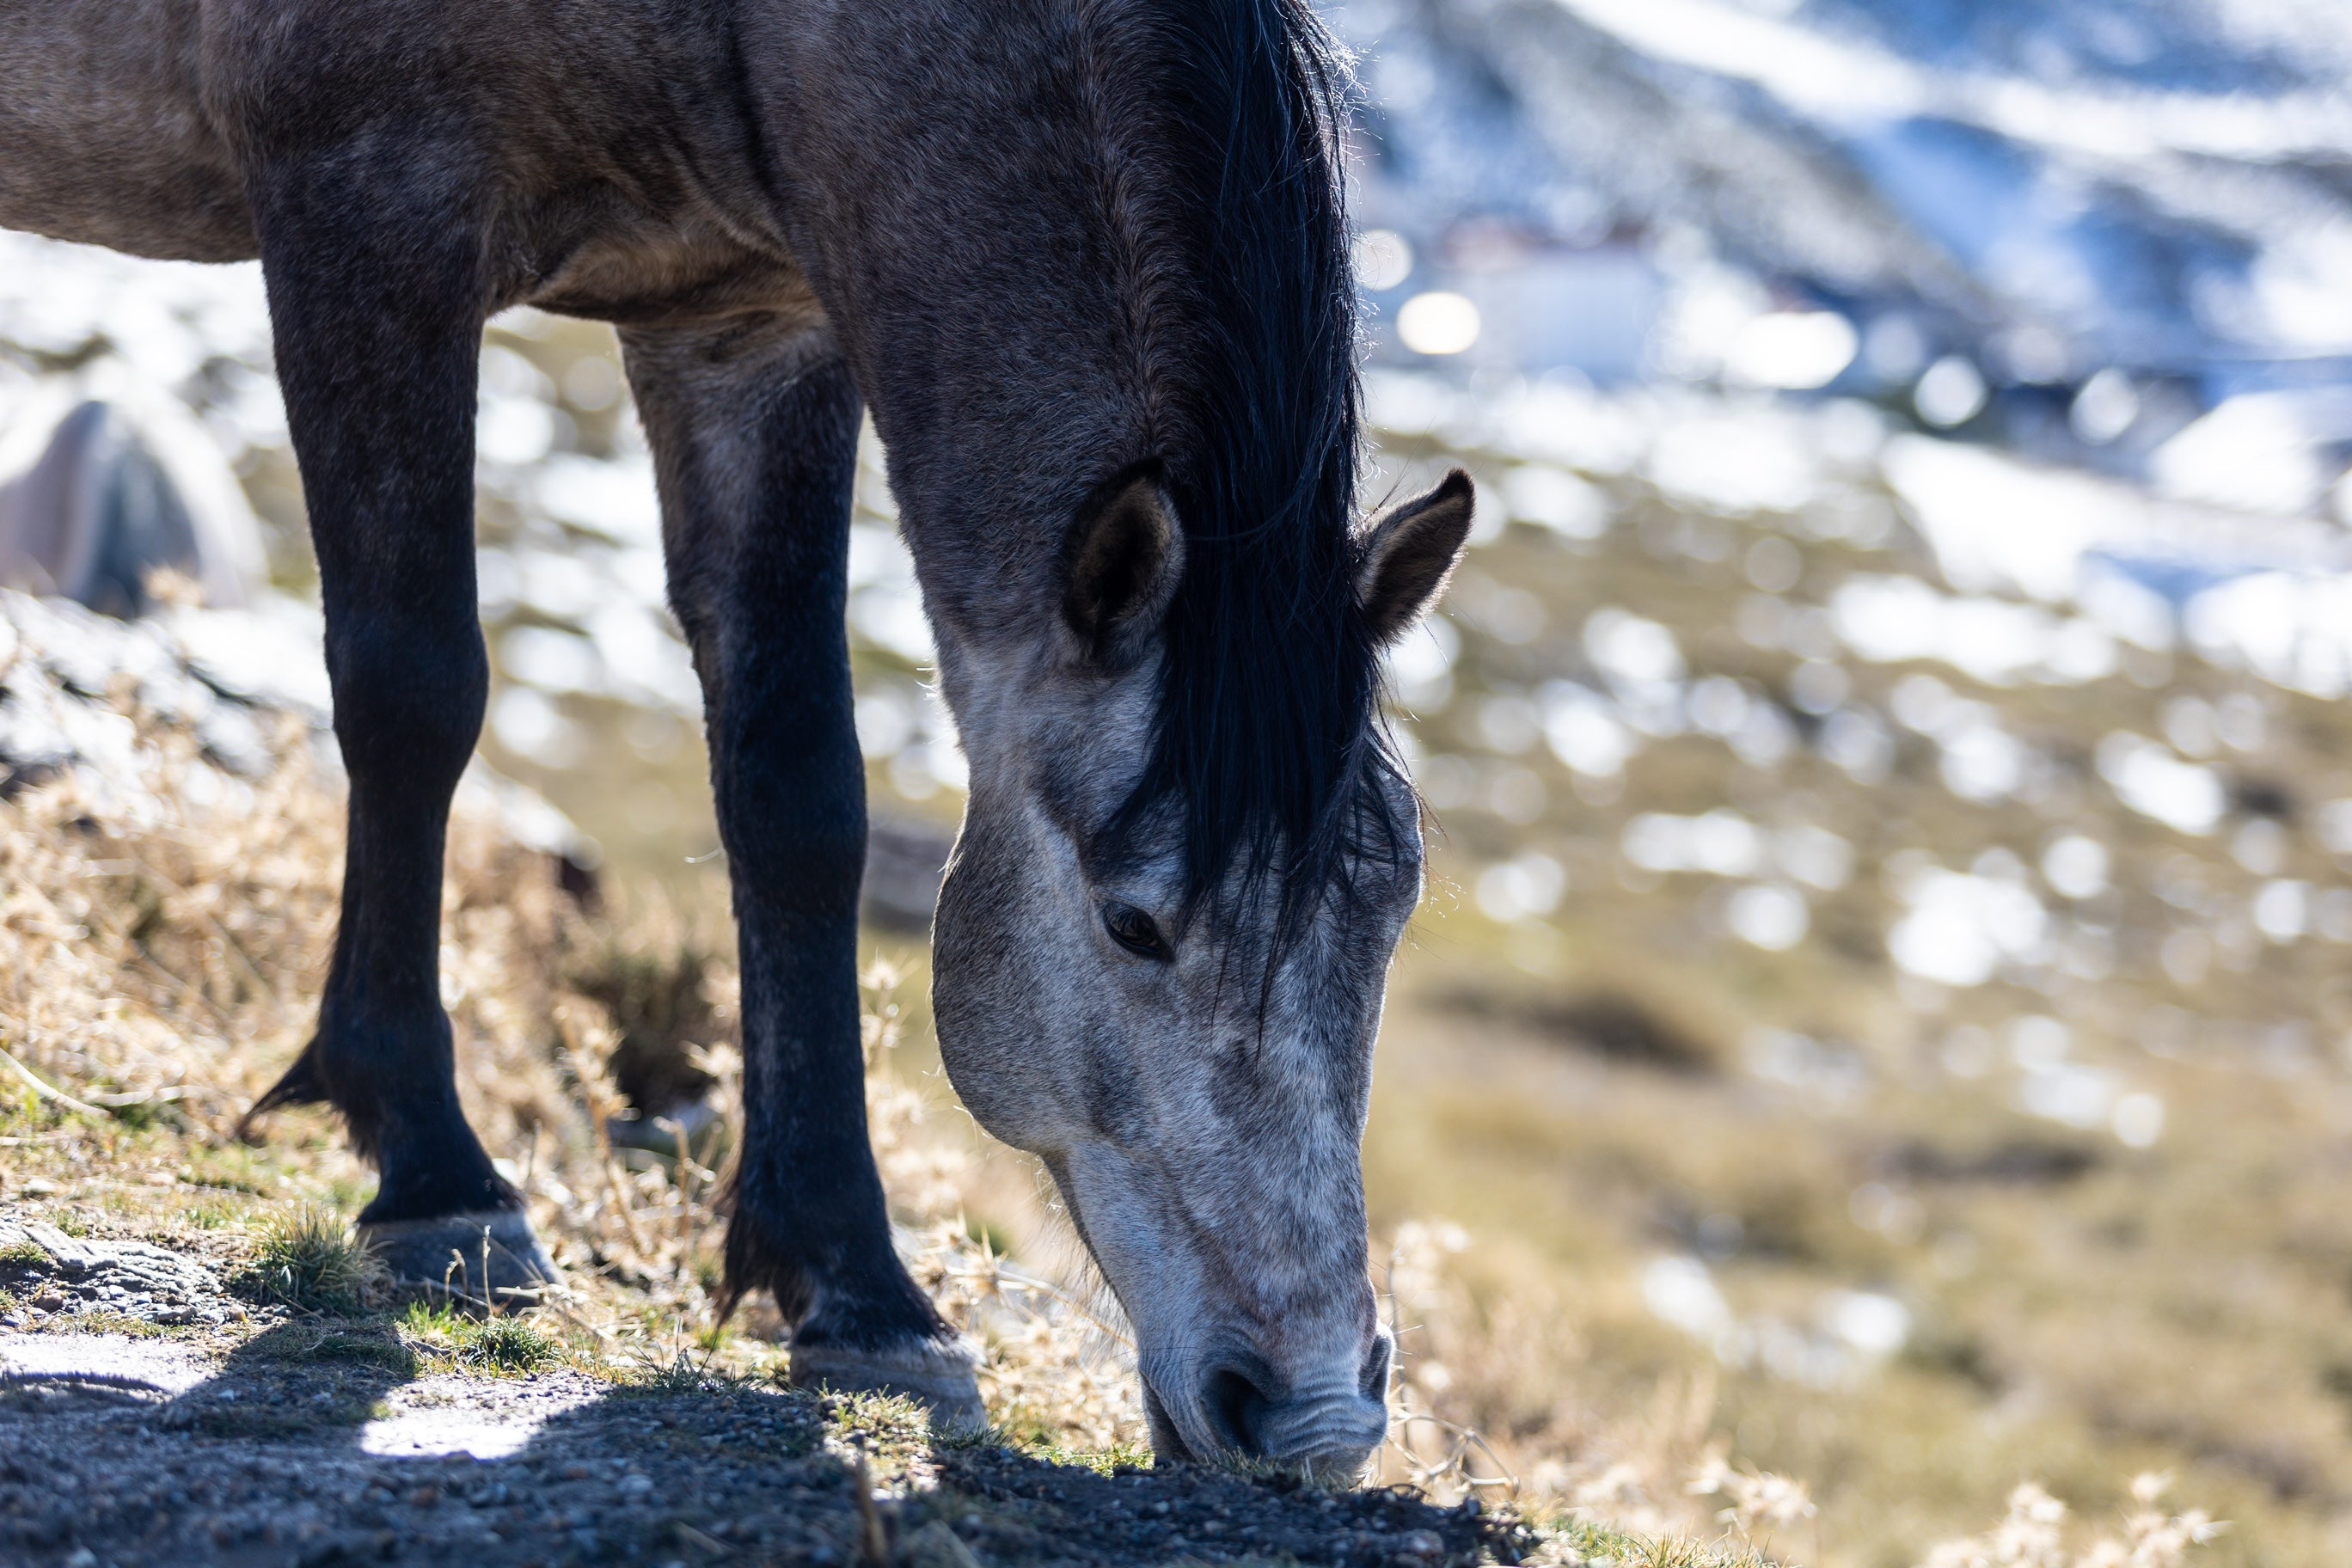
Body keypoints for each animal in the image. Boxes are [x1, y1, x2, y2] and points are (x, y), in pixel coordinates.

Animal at [4, 0, 1467, 1476]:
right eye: (1134, 923)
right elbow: (415, 692)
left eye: (1394, 909)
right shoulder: (364, 204)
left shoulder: (747, 330)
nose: (1316, 1415)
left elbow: (797, 793)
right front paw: (437, 1175)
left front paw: (858, 1287)